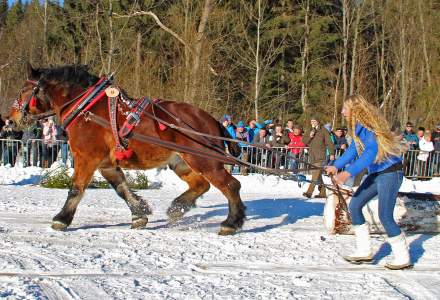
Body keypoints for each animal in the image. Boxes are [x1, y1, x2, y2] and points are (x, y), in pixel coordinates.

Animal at [11, 64, 244, 236]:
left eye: (22, 91)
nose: (11, 119)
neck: (86, 109)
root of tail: (212, 120)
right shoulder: (106, 164)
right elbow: (121, 189)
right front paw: (139, 214)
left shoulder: (86, 158)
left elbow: (76, 189)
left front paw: (61, 219)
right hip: (181, 162)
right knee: (201, 185)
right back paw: (177, 208)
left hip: (205, 161)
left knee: (231, 185)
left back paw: (231, 223)